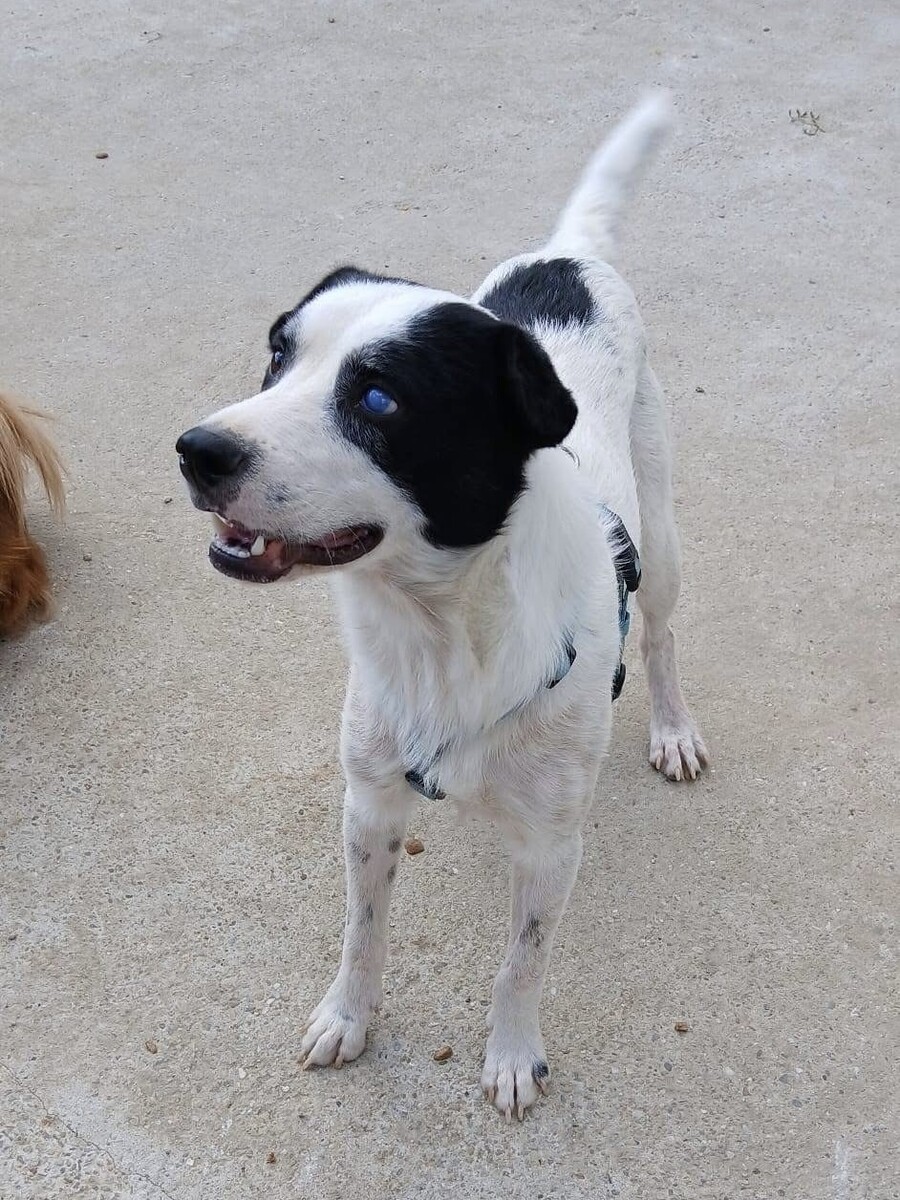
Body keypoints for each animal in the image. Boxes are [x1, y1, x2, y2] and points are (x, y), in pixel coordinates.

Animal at [177, 94, 708, 1119]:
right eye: (278, 355)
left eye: (380, 399)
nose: (195, 450)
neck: (440, 635)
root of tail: (564, 256)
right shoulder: (369, 802)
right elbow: (362, 928)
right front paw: (348, 1016)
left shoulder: (551, 847)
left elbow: (521, 964)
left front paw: (511, 1054)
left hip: (660, 544)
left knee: (663, 636)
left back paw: (671, 726)